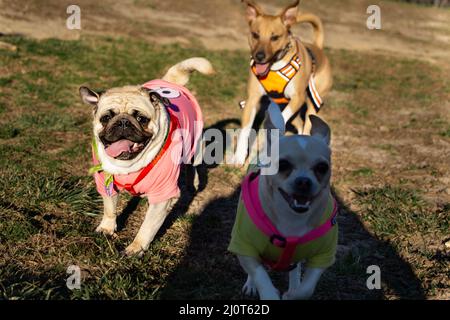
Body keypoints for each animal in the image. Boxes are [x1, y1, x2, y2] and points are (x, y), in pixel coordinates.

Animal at [234, 0, 332, 165]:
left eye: (275, 37)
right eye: (255, 35)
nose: (259, 56)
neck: (274, 67)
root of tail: (318, 48)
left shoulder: (297, 99)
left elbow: (281, 118)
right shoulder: (252, 99)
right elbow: (246, 129)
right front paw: (239, 157)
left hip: (312, 104)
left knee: (307, 124)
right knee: (299, 124)